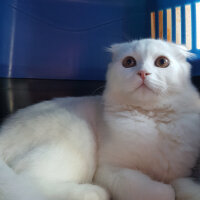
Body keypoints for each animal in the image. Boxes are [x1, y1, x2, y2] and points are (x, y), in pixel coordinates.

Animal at [0, 38, 200, 199]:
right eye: (129, 62)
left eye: (162, 62)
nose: (143, 73)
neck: (151, 120)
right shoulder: (110, 169)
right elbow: (154, 190)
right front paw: (166, 190)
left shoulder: (180, 171)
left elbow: (182, 184)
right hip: (76, 141)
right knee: (28, 184)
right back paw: (93, 193)